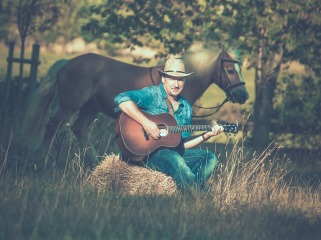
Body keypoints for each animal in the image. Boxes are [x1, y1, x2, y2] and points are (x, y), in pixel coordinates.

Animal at [21, 47, 248, 167]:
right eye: (230, 70)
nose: (243, 95)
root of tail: (67, 63)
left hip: (90, 108)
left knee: (79, 129)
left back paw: (96, 162)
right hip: (70, 105)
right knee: (53, 126)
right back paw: (42, 159)